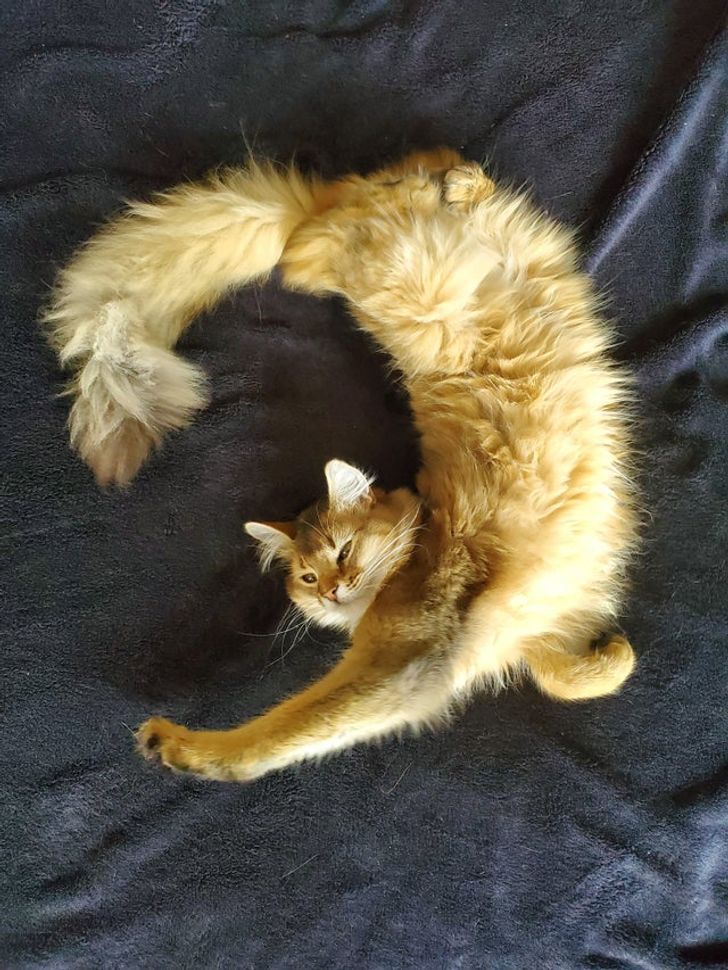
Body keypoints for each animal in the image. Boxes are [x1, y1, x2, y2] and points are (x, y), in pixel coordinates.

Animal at [44, 149, 636, 780]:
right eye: (307, 577)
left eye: (344, 551)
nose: (332, 590)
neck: (413, 553)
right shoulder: (503, 636)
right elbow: (564, 677)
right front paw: (610, 656)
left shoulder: (412, 663)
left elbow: (280, 732)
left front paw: (188, 750)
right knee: (348, 210)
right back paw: (453, 186)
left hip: (409, 281)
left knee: (337, 218)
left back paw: (449, 187)